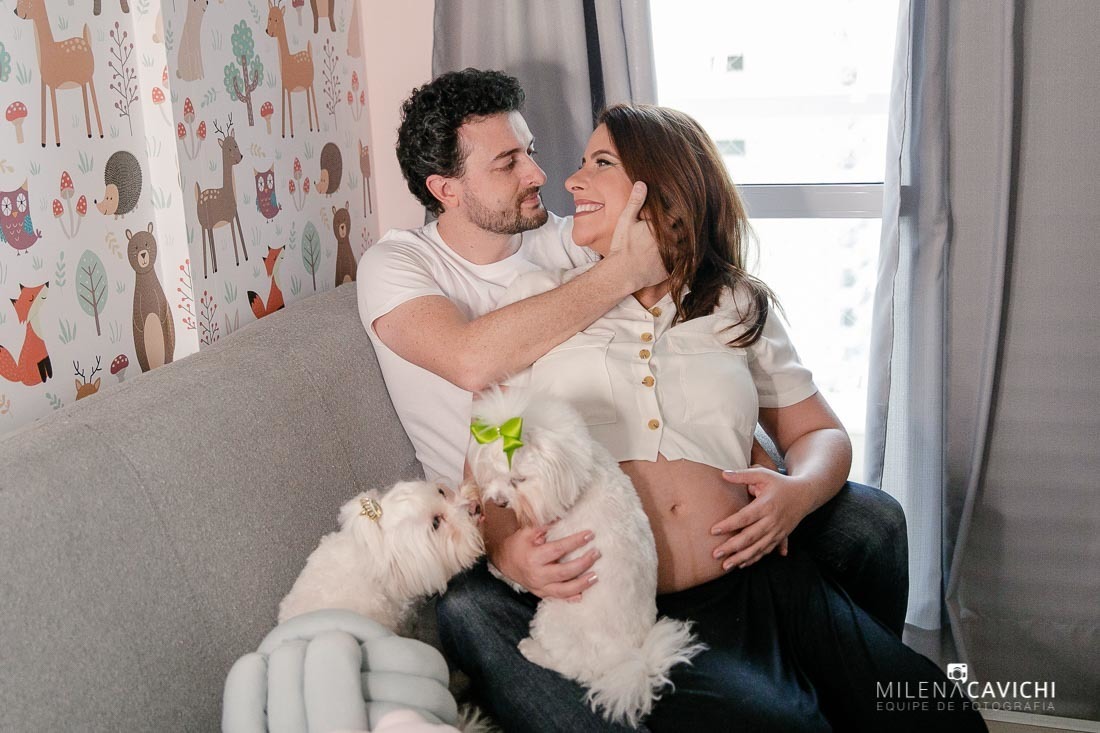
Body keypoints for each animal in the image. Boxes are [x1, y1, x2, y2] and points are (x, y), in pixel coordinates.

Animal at [467, 388, 705, 727]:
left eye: (519, 480)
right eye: (492, 472)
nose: (498, 502)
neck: (579, 476)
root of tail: (628, 659)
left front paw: (500, 571)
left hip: (554, 615)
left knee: (574, 667)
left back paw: (532, 650)